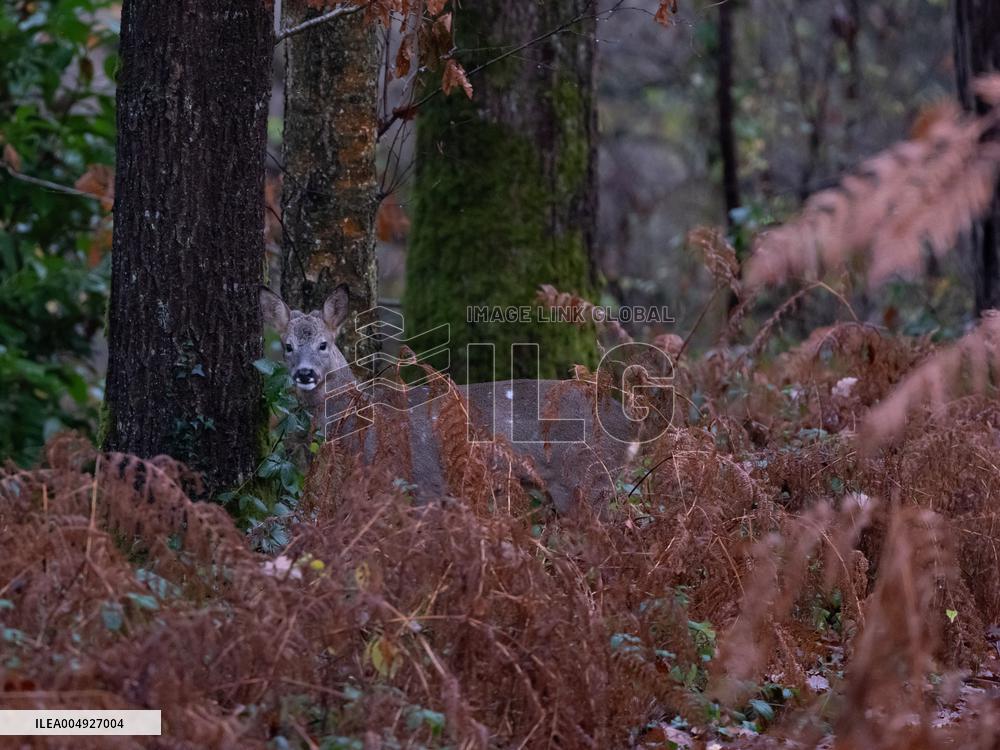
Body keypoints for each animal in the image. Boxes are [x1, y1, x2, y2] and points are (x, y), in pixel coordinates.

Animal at [259, 286, 673, 512]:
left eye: (323, 344)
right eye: (287, 345)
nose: (305, 374)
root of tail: (631, 423)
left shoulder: (423, 481)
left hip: (586, 480)